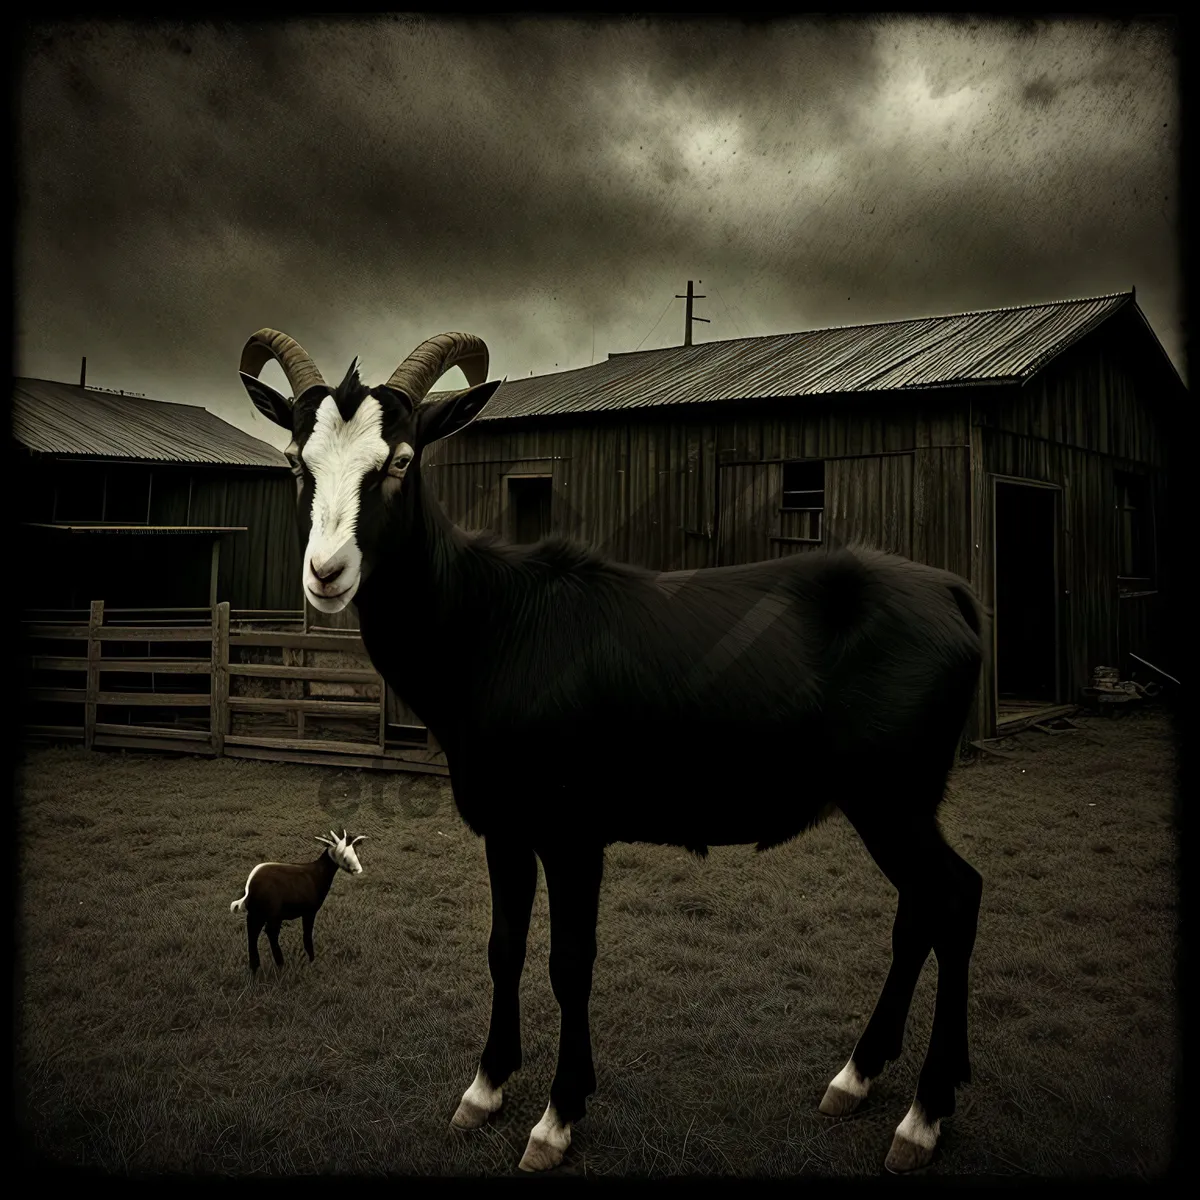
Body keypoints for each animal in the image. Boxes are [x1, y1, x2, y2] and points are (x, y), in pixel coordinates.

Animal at [230, 830, 364, 969]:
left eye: (354, 850)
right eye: (342, 852)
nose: (357, 869)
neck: (317, 873)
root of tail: (250, 886)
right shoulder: (309, 912)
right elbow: (307, 935)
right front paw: (311, 961)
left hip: (256, 914)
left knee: (252, 933)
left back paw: (255, 966)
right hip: (272, 915)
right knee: (271, 933)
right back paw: (280, 964)